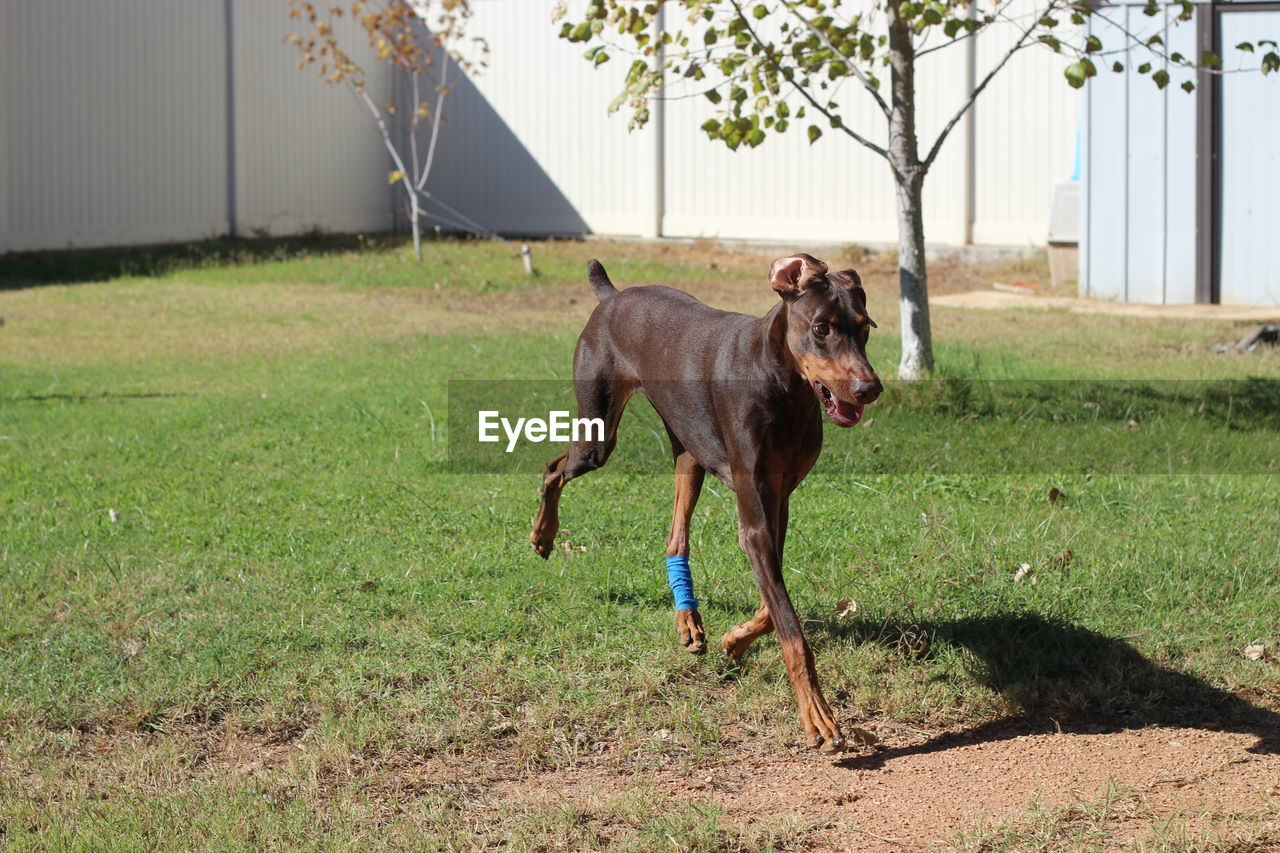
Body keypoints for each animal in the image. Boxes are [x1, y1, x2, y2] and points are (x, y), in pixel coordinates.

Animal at [529, 252, 880, 753]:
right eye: (821, 328)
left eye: (865, 326)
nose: (870, 388)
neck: (782, 385)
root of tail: (611, 297)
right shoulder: (755, 518)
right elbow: (792, 631)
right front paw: (818, 716)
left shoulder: (778, 501)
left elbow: (772, 609)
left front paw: (735, 641)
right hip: (597, 435)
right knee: (554, 468)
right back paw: (543, 535)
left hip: (688, 451)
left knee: (675, 536)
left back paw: (689, 620)